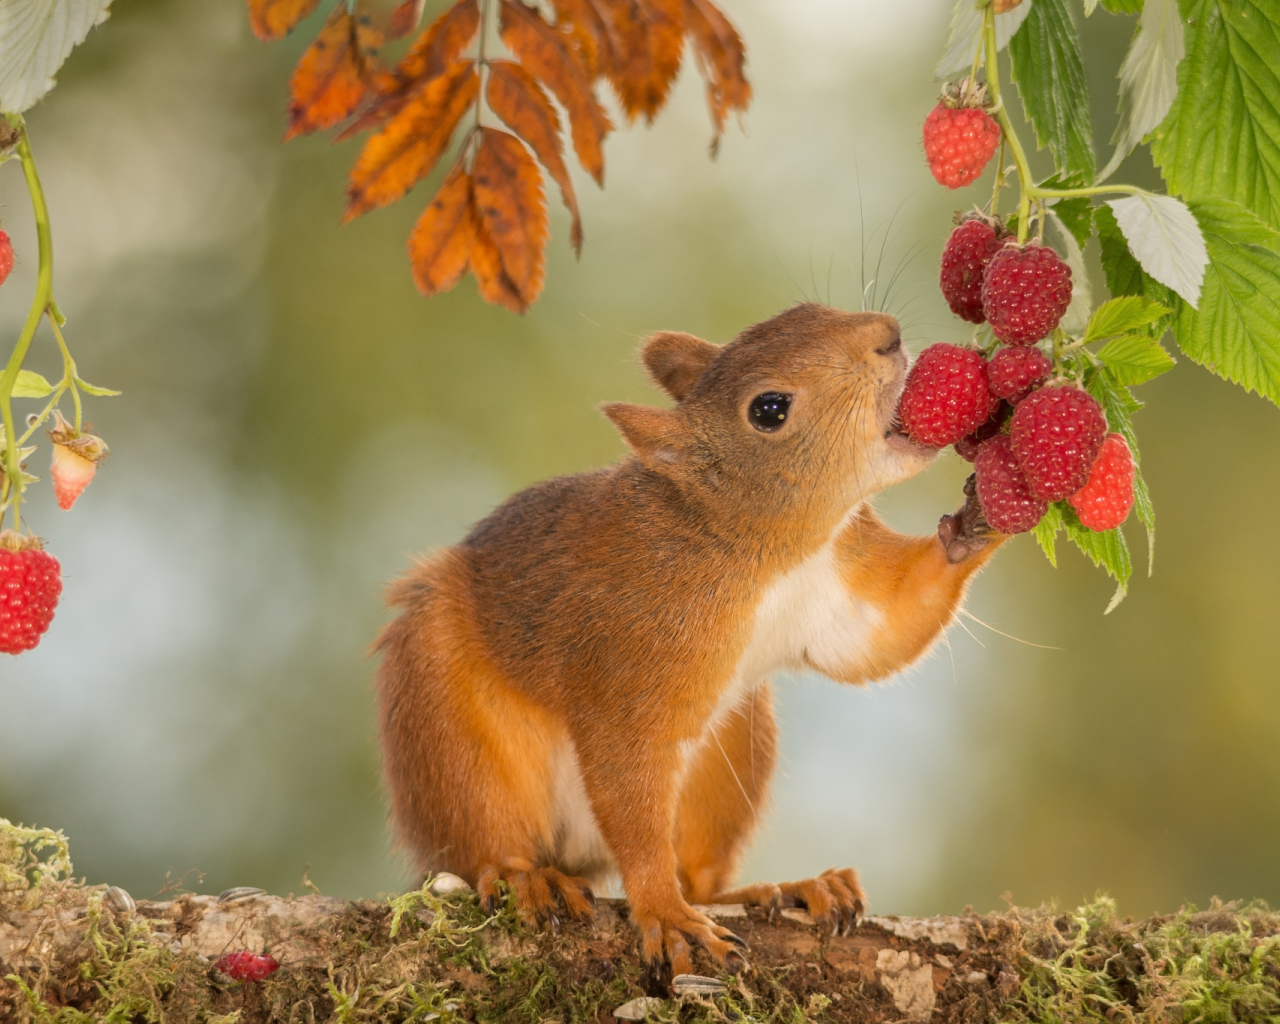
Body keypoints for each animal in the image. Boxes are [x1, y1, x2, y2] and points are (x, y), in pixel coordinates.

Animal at [373, 304, 1003, 977]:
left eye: (807, 311)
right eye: (769, 410)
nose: (887, 335)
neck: (766, 552)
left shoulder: (839, 584)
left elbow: (883, 632)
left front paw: (981, 517)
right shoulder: (629, 660)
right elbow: (629, 784)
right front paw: (664, 914)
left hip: (732, 751)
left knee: (700, 877)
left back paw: (792, 888)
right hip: (447, 725)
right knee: (479, 842)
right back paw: (525, 877)